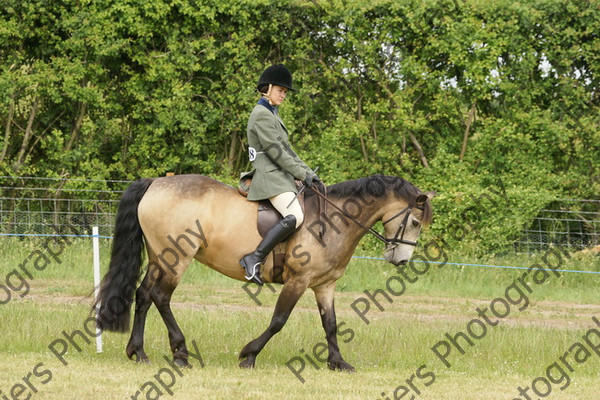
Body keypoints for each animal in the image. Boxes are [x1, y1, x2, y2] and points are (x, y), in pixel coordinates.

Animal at [94, 173, 434, 370]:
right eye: (415, 222)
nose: (401, 260)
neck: (337, 220)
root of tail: (155, 182)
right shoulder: (298, 281)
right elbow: (278, 321)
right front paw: (249, 355)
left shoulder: (324, 285)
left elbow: (331, 325)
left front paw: (338, 362)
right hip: (177, 258)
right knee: (161, 297)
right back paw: (180, 352)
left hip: (159, 257)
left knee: (143, 295)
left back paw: (138, 352)